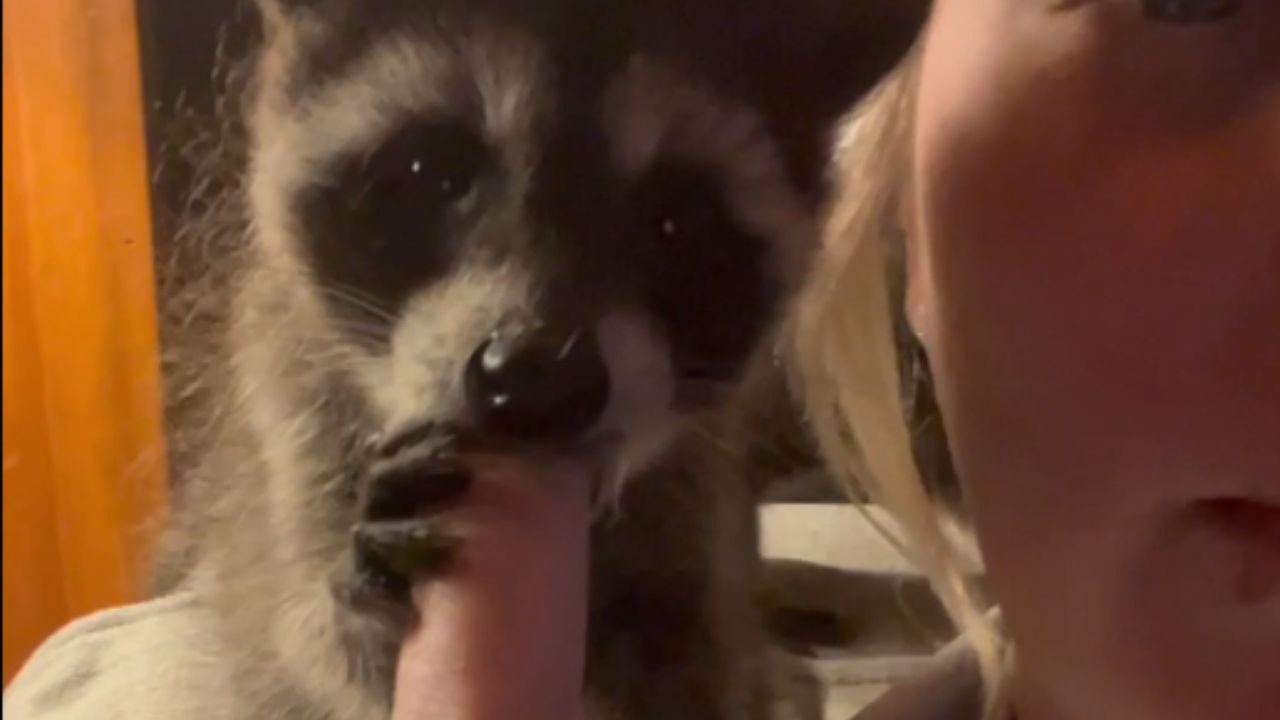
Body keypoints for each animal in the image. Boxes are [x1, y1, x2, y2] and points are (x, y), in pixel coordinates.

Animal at [150, 0, 926, 718]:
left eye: (675, 223)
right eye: (431, 172)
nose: (538, 381)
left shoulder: (699, 510)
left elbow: (701, 656)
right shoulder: (290, 425)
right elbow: (302, 640)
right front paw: (352, 607)